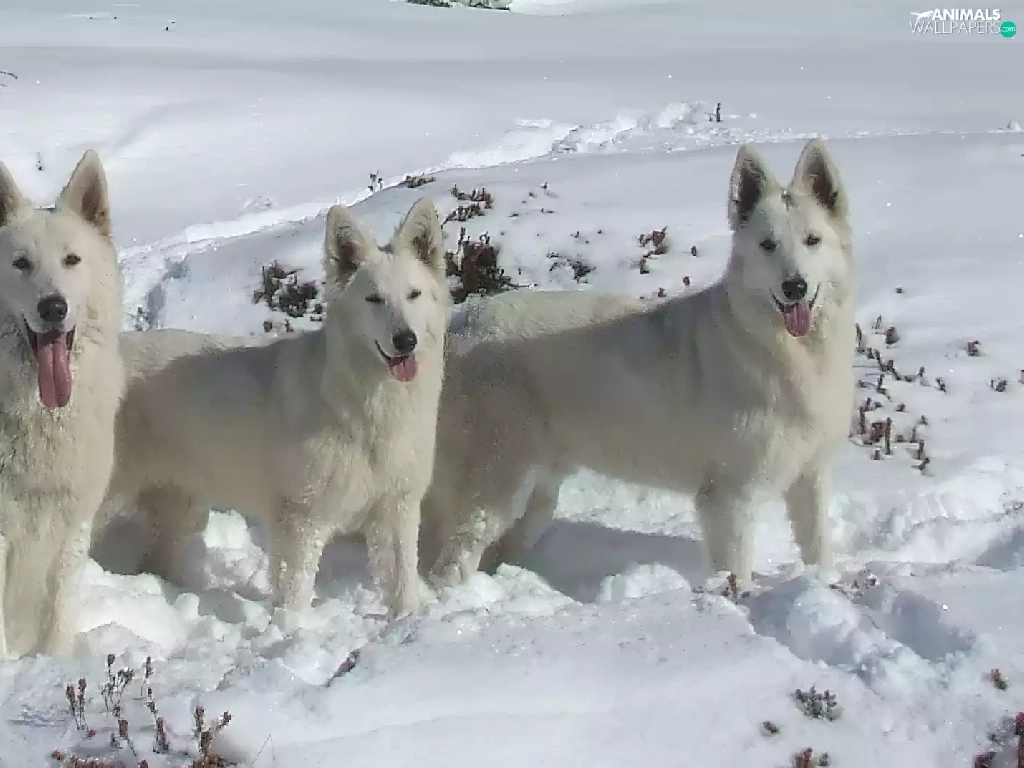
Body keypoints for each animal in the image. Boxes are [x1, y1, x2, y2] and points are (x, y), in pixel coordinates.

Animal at [107, 198, 449, 618]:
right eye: (374, 299)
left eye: (414, 295)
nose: (405, 340)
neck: (365, 404)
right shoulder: (302, 520)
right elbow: (295, 592)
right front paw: (290, 627)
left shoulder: (396, 509)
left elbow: (402, 583)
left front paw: (408, 621)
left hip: (178, 504)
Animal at [424, 138, 855, 589]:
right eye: (767, 245)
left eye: (812, 241)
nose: (795, 287)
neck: (786, 352)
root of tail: (459, 326)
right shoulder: (730, 498)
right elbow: (736, 575)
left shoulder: (810, 478)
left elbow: (819, 550)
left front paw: (826, 586)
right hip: (495, 486)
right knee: (451, 563)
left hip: (536, 497)